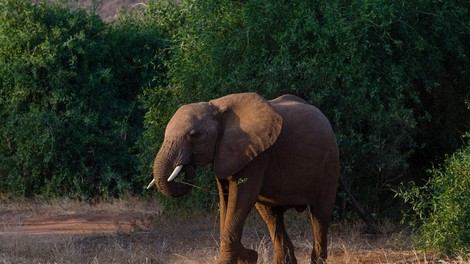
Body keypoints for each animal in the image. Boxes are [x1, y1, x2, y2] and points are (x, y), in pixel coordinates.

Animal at [147, 93, 338, 264]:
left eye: (194, 134)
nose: (186, 165)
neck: (217, 106)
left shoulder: (256, 154)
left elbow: (241, 199)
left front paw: (243, 257)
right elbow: (226, 201)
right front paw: (249, 257)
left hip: (329, 161)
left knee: (320, 213)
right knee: (271, 215)